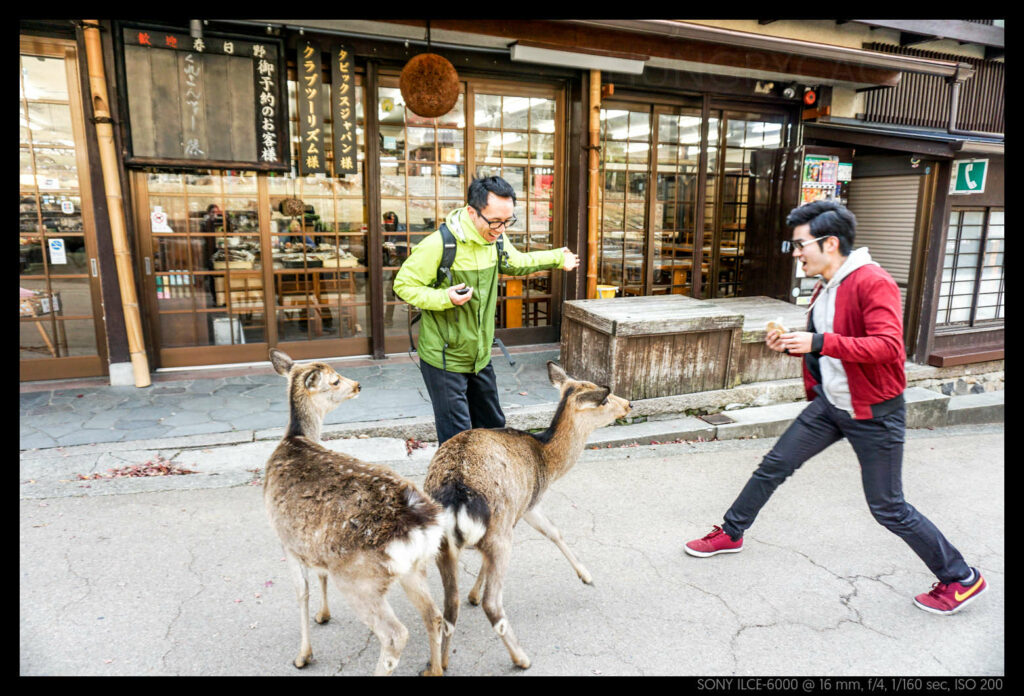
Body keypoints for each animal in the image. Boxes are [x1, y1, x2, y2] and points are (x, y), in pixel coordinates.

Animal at [262, 348, 446, 675]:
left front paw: (302, 656)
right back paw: (433, 669)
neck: (294, 439)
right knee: (435, 615)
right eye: (335, 380)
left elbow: (301, 593)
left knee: (395, 634)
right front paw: (323, 615)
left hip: (360, 579)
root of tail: (423, 523)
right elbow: (319, 577)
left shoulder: (286, 541)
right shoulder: (309, 544)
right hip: (414, 568)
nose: (358, 384)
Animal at [421, 358, 626, 667]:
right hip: (499, 530)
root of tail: (456, 494)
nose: (629, 404)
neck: (547, 461)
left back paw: (442, 663)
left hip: (445, 544)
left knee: (450, 603)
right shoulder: (526, 504)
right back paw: (521, 658)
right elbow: (554, 531)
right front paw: (587, 576)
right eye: (604, 399)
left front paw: (472, 593)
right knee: (492, 602)